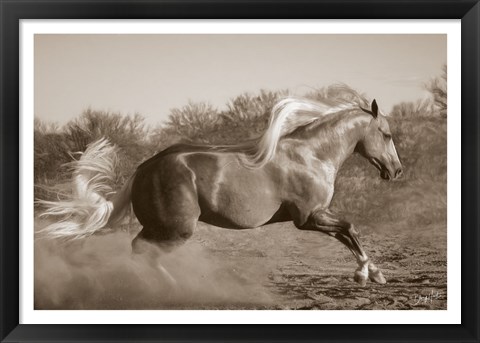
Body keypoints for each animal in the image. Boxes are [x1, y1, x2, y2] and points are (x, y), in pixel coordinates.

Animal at [39, 86, 404, 288]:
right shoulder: (309, 217)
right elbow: (351, 229)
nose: (397, 171)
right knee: (142, 251)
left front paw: (373, 273)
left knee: (138, 250)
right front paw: (366, 274)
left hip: (162, 227)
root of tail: (144, 167)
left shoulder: (318, 215)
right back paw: (174, 289)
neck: (312, 155)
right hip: (177, 229)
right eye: (386, 134)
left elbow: (348, 235)